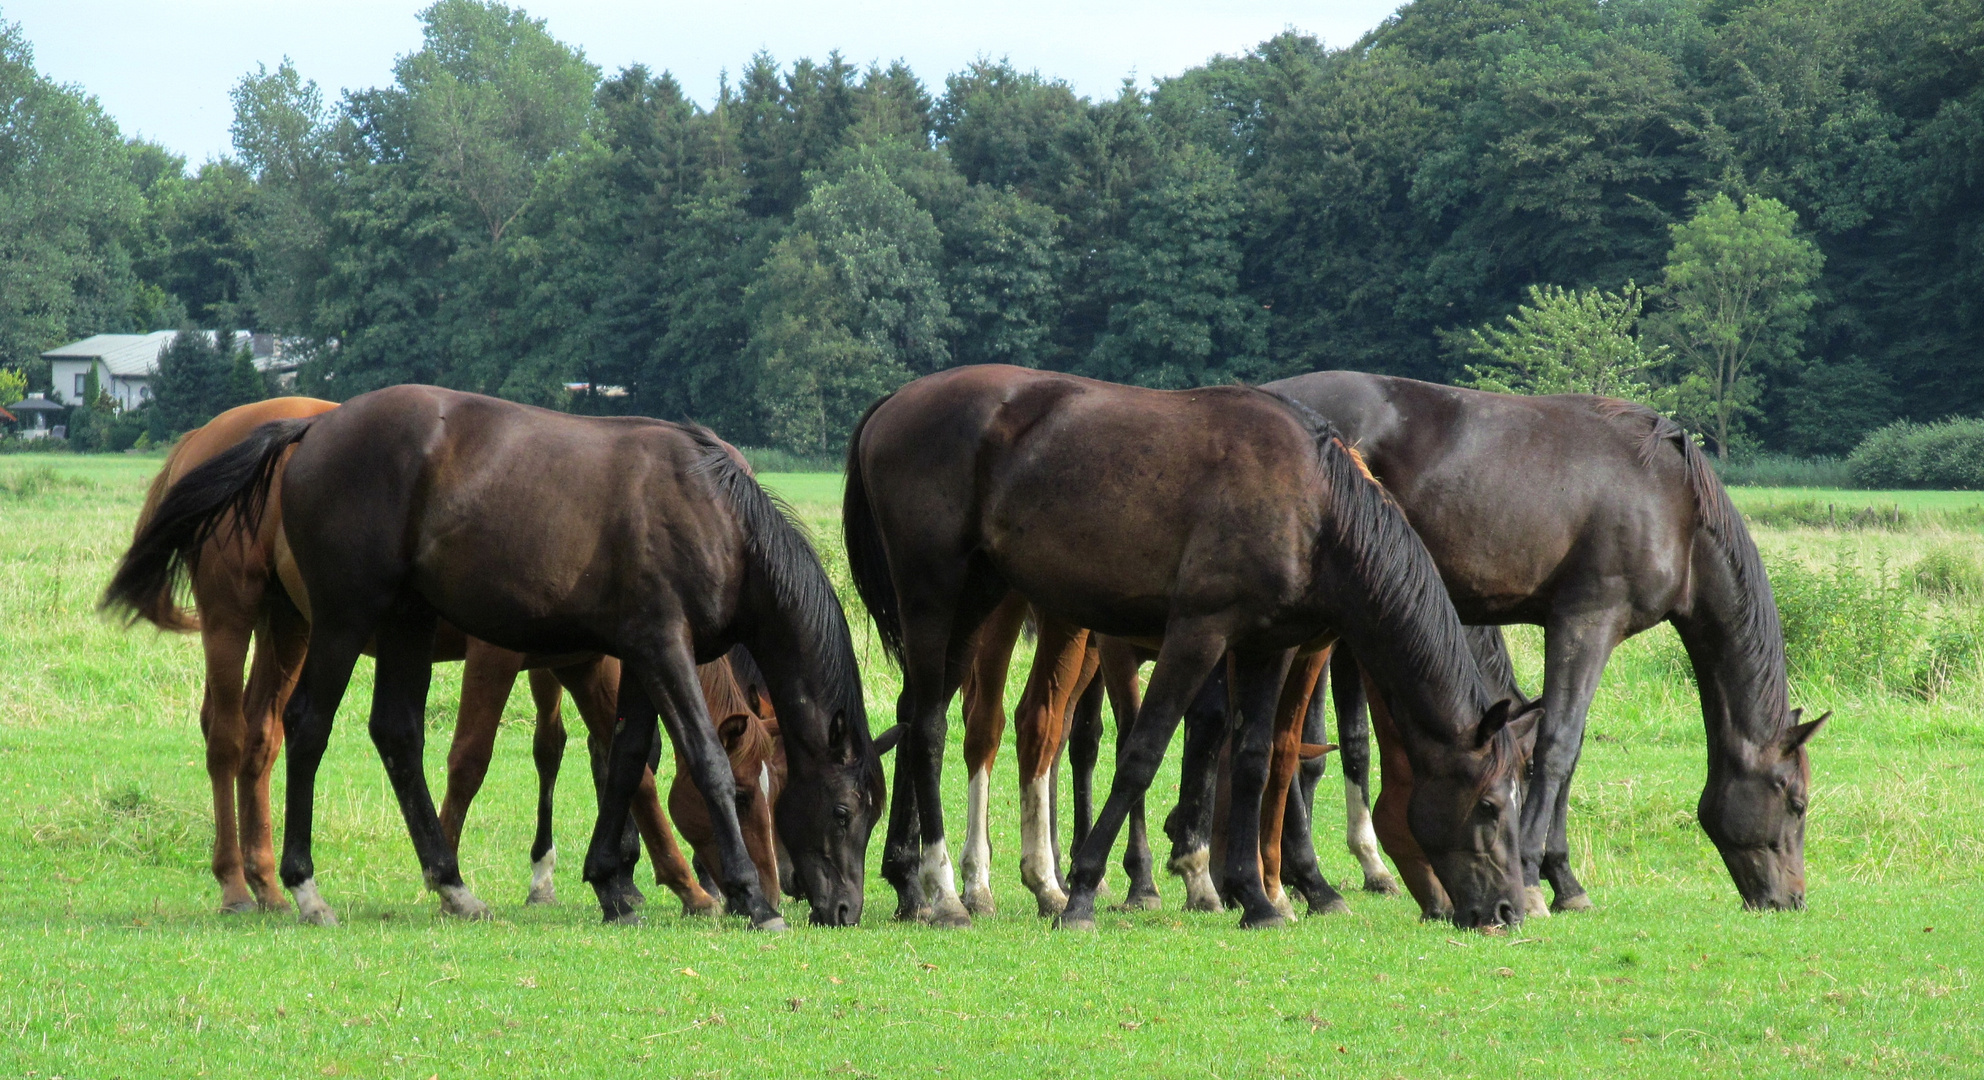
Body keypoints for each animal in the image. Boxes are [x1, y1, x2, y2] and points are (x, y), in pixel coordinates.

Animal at [104, 385, 880, 929]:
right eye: (843, 811)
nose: (843, 909)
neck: (714, 515)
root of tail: (313, 429)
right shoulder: (655, 650)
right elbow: (697, 759)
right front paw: (747, 898)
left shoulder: (631, 656)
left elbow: (627, 757)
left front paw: (613, 880)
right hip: (322, 621)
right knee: (294, 728)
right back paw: (295, 887)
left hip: (378, 625)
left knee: (386, 733)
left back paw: (445, 882)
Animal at [837, 367, 1531, 933]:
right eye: (1490, 805)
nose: (1507, 910)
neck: (1313, 503)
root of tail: (895, 402)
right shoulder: (1199, 635)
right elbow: (1142, 754)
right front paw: (1085, 893)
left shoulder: (1266, 647)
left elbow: (1253, 758)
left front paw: (1255, 897)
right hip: (934, 601)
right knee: (930, 728)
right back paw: (948, 893)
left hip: (976, 605)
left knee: (922, 716)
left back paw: (917, 887)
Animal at [1269, 371, 1825, 913]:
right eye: (1797, 803)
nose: (1793, 899)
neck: (1675, 506)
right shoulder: (1586, 622)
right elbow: (1560, 743)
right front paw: (1536, 875)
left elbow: (1568, 752)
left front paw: (1563, 879)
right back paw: (1308, 883)